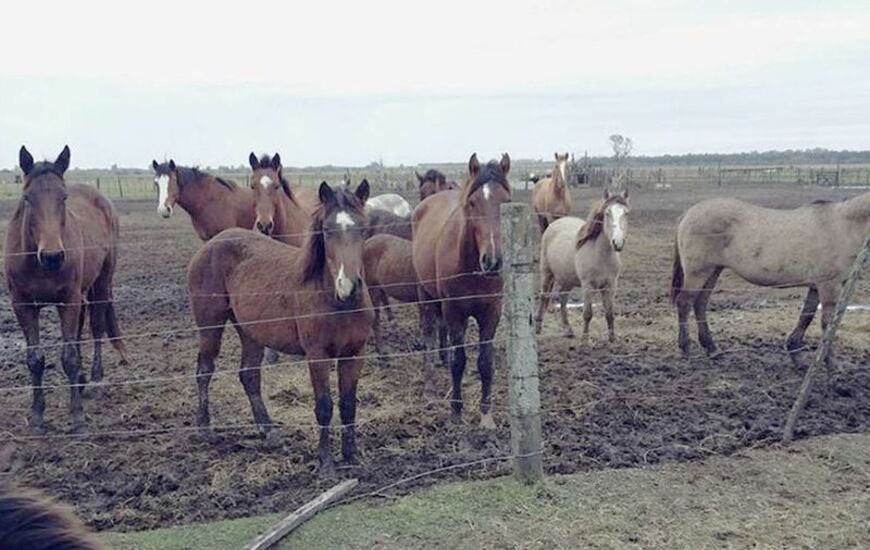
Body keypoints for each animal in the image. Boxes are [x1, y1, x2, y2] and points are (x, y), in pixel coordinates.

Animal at [6, 146, 128, 434]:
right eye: (27, 198)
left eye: (63, 198)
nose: (52, 256)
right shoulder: (22, 305)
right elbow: (35, 359)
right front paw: (37, 418)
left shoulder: (68, 300)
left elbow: (69, 355)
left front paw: (78, 417)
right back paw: (81, 380)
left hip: (101, 282)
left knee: (96, 326)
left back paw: (95, 380)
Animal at [187, 180, 373, 471]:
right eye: (327, 230)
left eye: (363, 229)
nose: (350, 286)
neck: (338, 303)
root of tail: (214, 243)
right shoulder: (317, 356)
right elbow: (324, 406)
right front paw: (326, 461)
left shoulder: (354, 354)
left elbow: (348, 404)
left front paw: (351, 455)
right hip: (210, 326)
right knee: (204, 371)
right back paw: (204, 427)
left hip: (250, 332)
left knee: (249, 375)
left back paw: (269, 431)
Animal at [412, 153, 511, 428]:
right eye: (473, 203)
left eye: (506, 201)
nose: (492, 261)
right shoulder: (454, 310)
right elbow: (459, 361)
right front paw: (455, 411)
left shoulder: (491, 312)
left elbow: (485, 363)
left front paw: (486, 415)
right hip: (426, 295)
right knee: (429, 333)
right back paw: (430, 385)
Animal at [535, 190, 630, 342]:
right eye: (607, 213)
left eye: (626, 213)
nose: (618, 242)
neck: (600, 255)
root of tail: (555, 223)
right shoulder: (587, 286)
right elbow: (588, 313)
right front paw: (585, 339)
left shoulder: (610, 286)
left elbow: (610, 313)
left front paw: (612, 338)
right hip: (546, 273)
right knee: (544, 296)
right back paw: (538, 327)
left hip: (566, 279)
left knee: (562, 298)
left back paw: (568, 330)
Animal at [672, 192, 870, 356]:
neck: (842, 227)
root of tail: (688, 213)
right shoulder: (829, 285)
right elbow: (827, 324)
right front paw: (829, 367)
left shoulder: (816, 286)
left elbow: (806, 316)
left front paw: (794, 349)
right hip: (698, 273)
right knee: (684, 302)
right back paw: (686, 347)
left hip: (713, 271)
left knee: (700, 304)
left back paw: (711, 347)